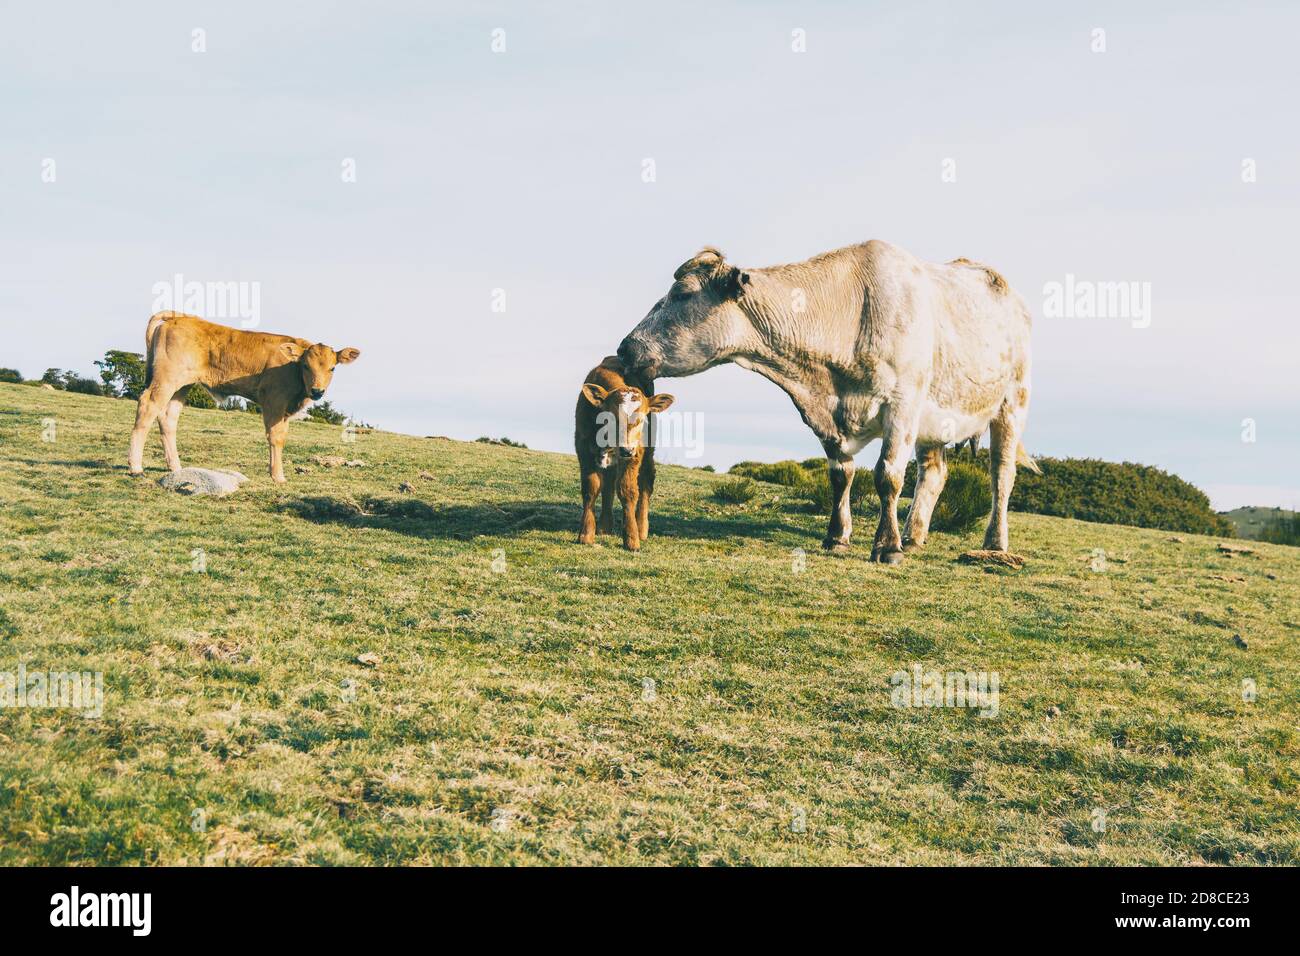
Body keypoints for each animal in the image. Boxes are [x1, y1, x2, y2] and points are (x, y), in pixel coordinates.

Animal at [127, 312, 361, 481]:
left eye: (332, 368)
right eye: (305, 365)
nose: (317, 391)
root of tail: (177, 317)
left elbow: (282, 436)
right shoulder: (274, 401)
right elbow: (276, 437)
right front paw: (278, 476)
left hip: (182, 385)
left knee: (168, 418)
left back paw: (175, 467)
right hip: (166, 379)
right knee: (147, 407)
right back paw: (136, 467)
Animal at [579, 356, 681, 554]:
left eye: (641, 419)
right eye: (611, 418)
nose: (626, 450)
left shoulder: (634, 455)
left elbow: (628, 491)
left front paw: (631, 538)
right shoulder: (583, 448)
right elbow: (591, 489)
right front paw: (586, 534)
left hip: (647, 454)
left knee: (646, 484)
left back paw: (641, 528)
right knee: (609, 484)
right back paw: (604, 525)